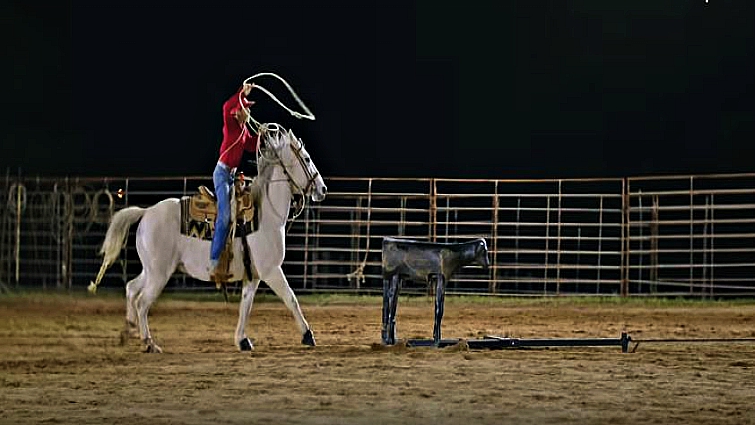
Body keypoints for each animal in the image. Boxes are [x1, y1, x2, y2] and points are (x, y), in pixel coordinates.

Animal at [90, 126, 326, 352]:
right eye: (306, 159)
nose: (322, 189)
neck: (266, 214)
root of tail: (146, 212)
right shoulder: (271, 271)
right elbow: (291, 299)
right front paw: (308, 336)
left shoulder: (253, 275)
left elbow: (245, 306)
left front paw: (242, 340)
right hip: (159, 273)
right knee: (142, 302)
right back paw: (149, 343)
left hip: (150, 270)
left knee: (131, 289)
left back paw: (128, 332)